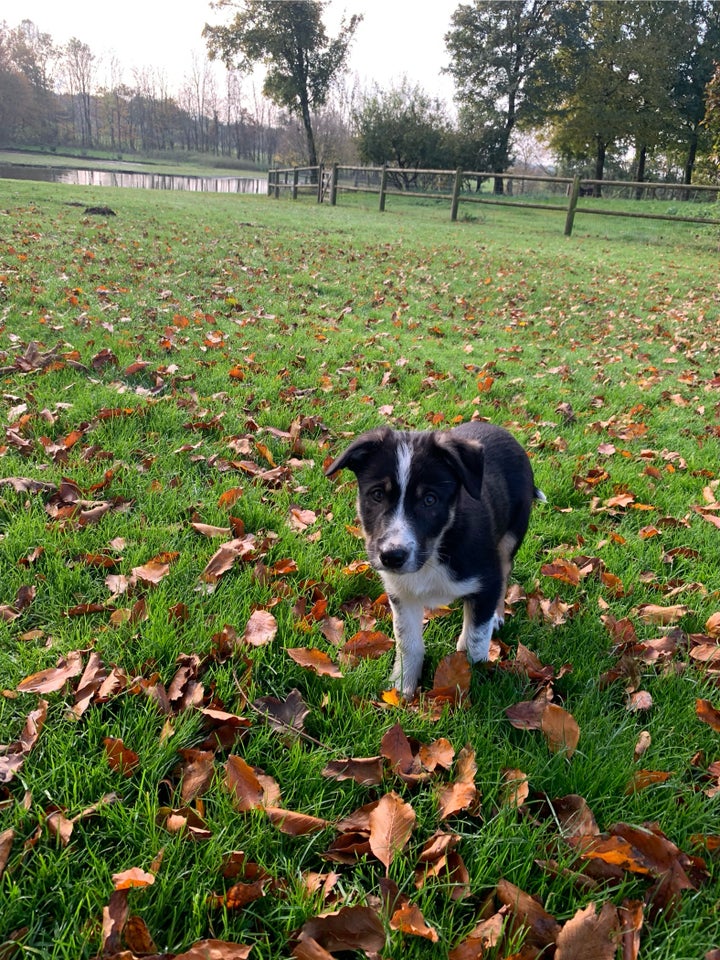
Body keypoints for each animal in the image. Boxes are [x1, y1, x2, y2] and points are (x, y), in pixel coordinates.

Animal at [324, 422, 544, 696]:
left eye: (430, 500)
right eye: (377, 495)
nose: (392, 557)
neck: (436, 551)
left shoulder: (486, 579)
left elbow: (475, 640)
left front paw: (474, 681)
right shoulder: (401, 594)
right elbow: (408, 642)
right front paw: (401, 688)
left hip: (511, 536)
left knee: (505, 573)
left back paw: (496, 616)